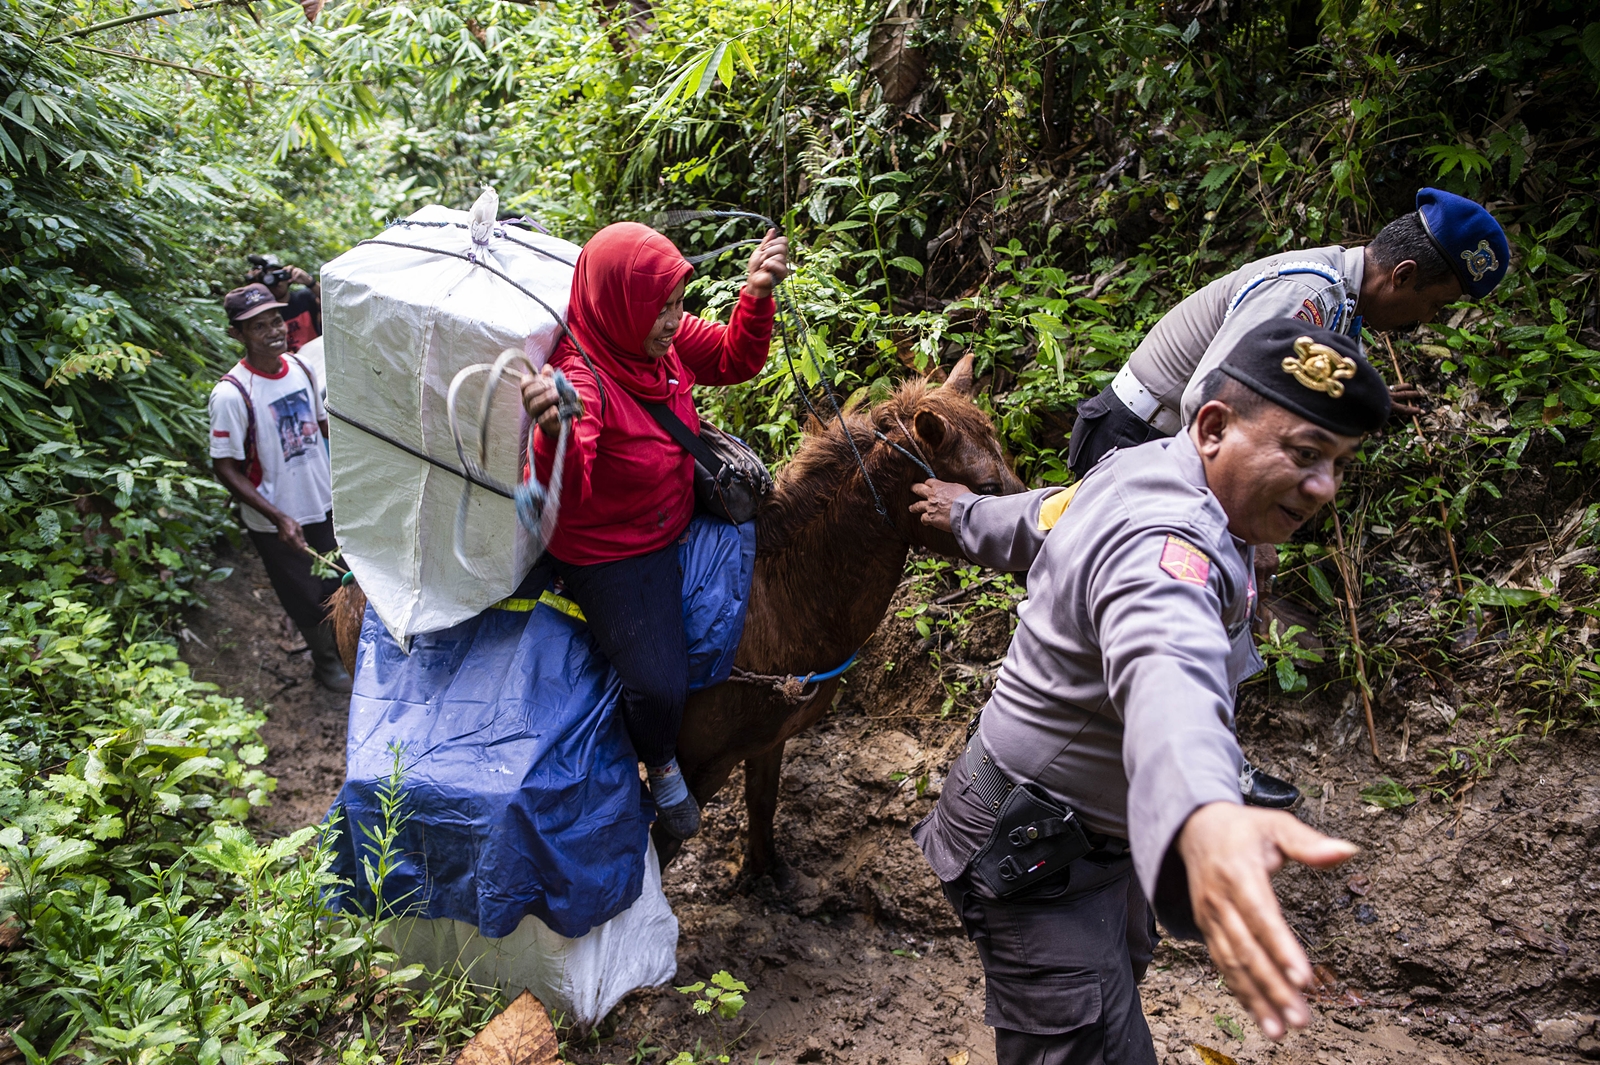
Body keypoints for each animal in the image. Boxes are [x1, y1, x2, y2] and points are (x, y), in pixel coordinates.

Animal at [329, 356, 1017, 876]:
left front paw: (764, 878)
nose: (1037, 523)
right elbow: (664, 845)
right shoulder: (695, 767)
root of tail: (352, 583)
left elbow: (763, 805)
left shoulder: (767, 740)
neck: (778, 595)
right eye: (984, 486)